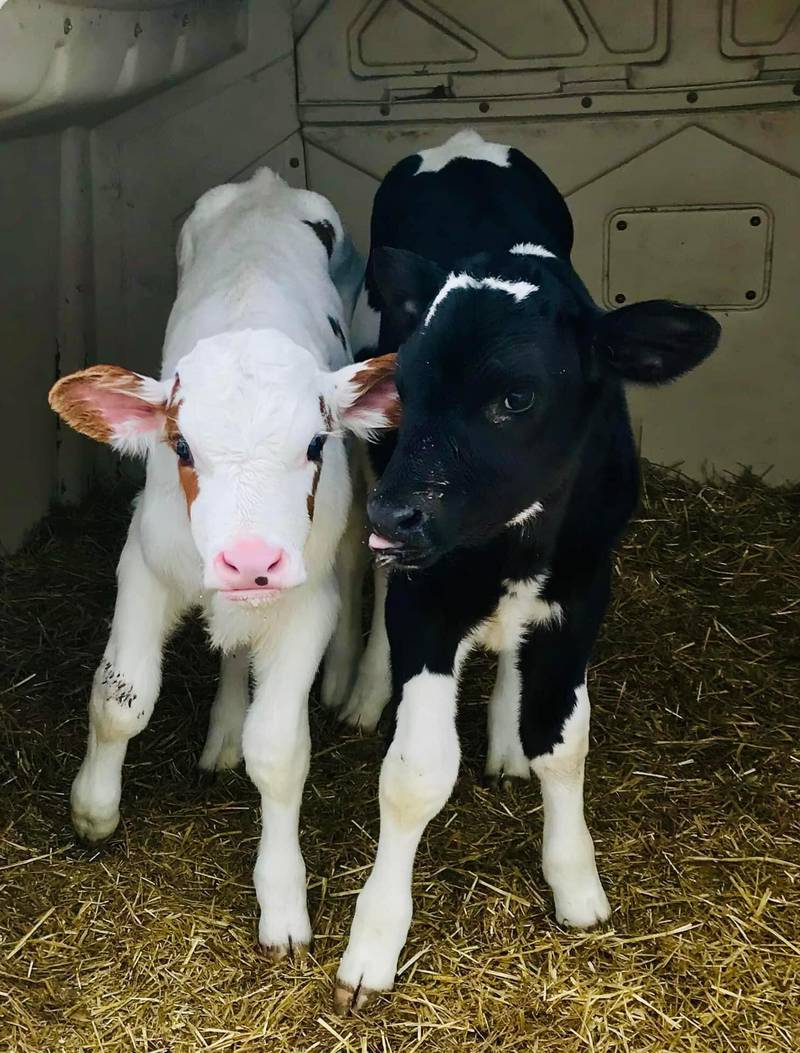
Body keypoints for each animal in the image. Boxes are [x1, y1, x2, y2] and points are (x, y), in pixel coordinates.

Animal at [47, 166, 397, 964]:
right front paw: (94, 809)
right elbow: (121, 698)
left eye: (313, 443)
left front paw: (283, 898)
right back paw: (223, 729)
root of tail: (268, 185)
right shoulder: (144, 565)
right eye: (181, 447)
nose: (250, 558)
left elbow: (280, 747)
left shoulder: (302, 603)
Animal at [334, 131, 720, 1010]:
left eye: (516, 398)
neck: (513, 540)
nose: (395, 514)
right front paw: (374, 939)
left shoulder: (583, 589)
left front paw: (575, 881)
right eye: (404, 383)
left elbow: (563, 740)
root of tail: (462, 145)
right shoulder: (425, 598)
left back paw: (504, 732)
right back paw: (368, 690)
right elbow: (416, 772)